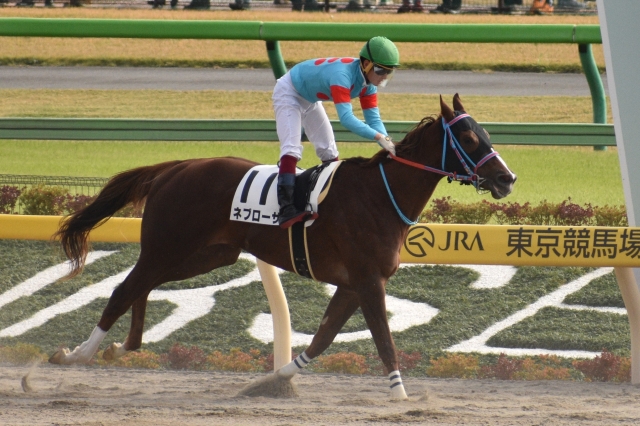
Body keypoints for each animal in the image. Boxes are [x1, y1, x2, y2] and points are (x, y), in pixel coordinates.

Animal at [49, 94, 516, 400]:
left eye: (485, 132)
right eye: (469, 139)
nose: (506, 178)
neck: (380, 197)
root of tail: (175, 168)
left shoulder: (353, 284)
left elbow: (323, 337)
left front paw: (270, 381)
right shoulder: (369, 281)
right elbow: (383, 339)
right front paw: (402, 397)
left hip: (205, 255)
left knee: (141, 287)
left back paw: (121, 346)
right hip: (168, 246)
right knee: (124, 289)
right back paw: (77, 355)